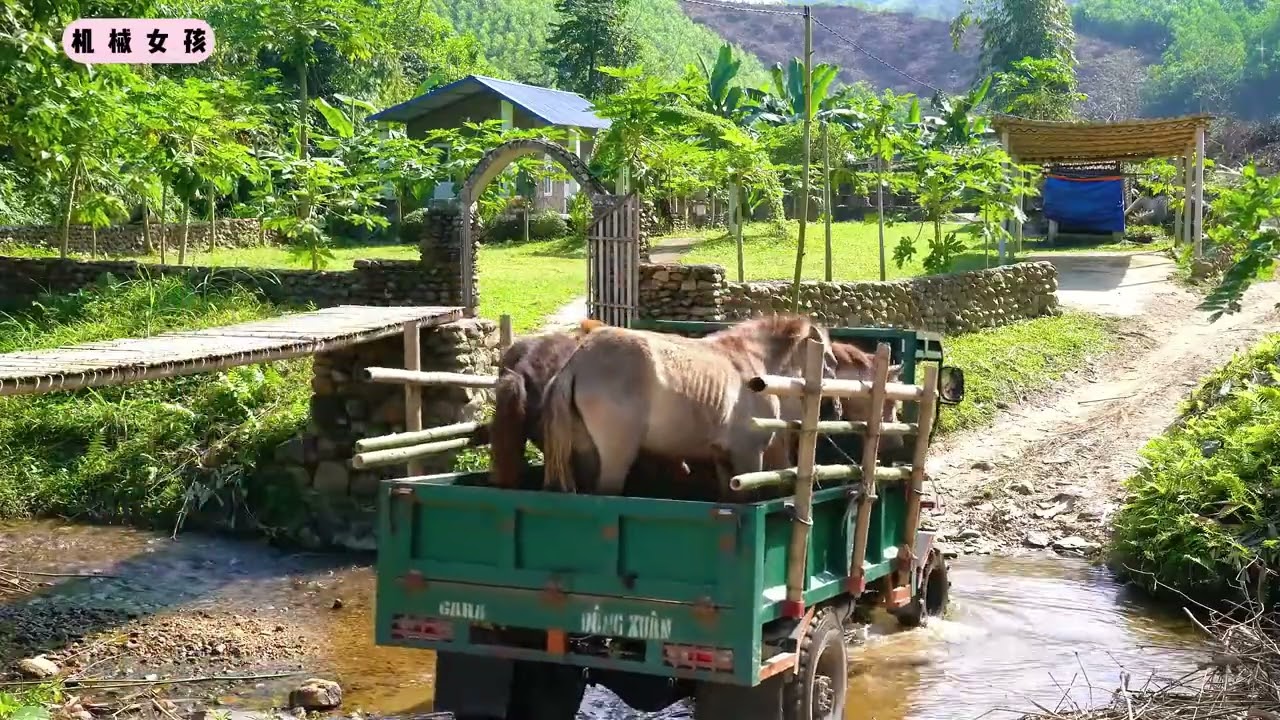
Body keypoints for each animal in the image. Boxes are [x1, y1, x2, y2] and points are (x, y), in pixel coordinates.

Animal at [540, 314, 837, 497]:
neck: (754, 361)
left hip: (587, 454)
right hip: (616, 457)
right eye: (829, 361)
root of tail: (579, 359)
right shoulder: (748, 455)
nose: (834, 409)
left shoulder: (723, 459)